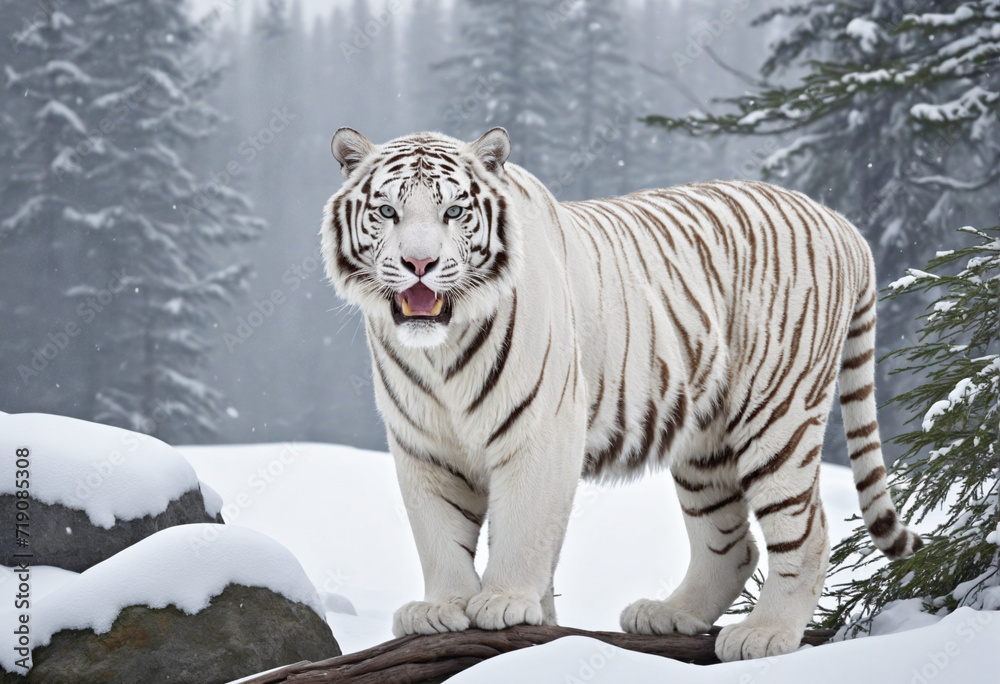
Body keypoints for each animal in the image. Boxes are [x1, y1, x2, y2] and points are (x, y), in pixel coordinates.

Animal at [319, 126, 923, 661]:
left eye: (454, 212)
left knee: (807, 530)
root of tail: (841, 222)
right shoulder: (422, 444)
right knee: (731, 544)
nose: (419, 264)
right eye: (387, 212)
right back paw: (670, 614)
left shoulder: (541, 431)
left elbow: (523, 526)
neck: (440, 352)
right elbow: (438, 531)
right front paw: (444, 608)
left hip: (776, 413)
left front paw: (505, 601)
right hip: (705, 441)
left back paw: (766, 634)